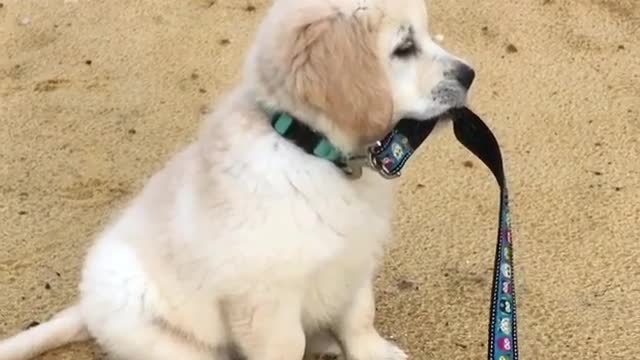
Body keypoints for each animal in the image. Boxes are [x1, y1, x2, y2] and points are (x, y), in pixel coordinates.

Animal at [0, 0, 470, 358]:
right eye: (404, 48)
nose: (470, 74)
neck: (311, 152)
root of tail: (86, 306)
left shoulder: (354, 260)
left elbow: (358, 316)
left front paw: (371, 350)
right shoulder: (265, 299)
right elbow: (287, 345)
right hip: (164, 336)